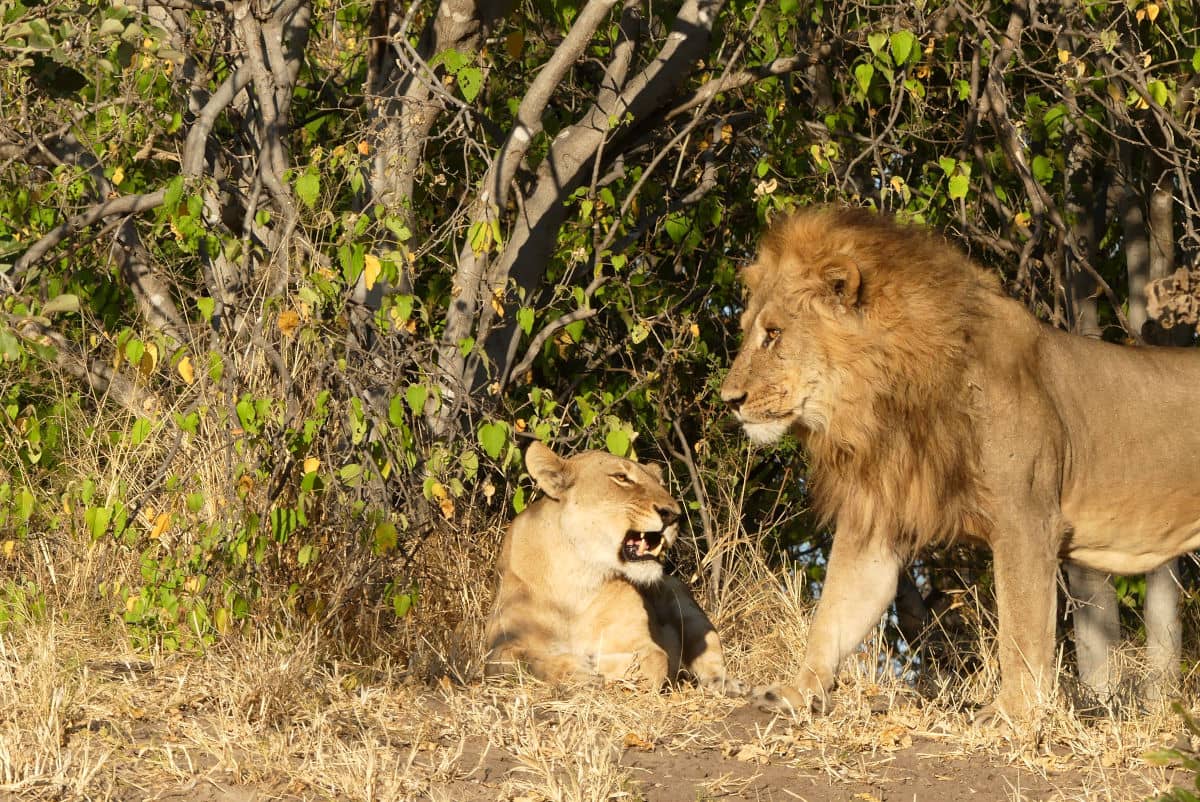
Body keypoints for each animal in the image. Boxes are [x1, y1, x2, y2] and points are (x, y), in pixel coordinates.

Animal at [484, 441, 738, 692]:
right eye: (621, 477)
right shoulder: (497, 649)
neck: (576, 578)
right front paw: (579, 673)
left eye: (660, 483)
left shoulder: (637, 640)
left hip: (684, 603)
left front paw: (606, 670)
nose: (673, 515)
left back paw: (727, 684)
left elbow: (656, 659)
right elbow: (530, 660)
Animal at [719, 206, 1200, 722]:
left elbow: (1021, 629)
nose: (729, 400)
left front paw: (1012, 713)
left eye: (773, 334)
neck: (890, 399)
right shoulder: (877, 522)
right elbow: (835, 612)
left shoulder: (1026, 519)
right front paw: (797, 690)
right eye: (747, 329)